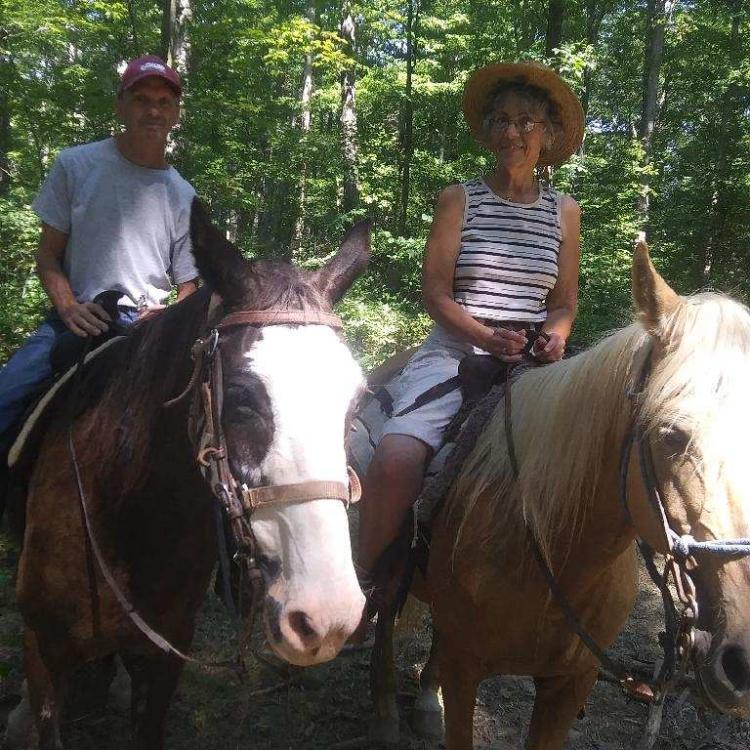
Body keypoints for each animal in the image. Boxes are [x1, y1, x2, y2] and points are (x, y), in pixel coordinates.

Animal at [5, 201, 370, 750]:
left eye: (356, 402)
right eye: (240, 396)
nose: (326, 618)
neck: (126, 524)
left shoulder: (162, 665)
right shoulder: (42, 651)